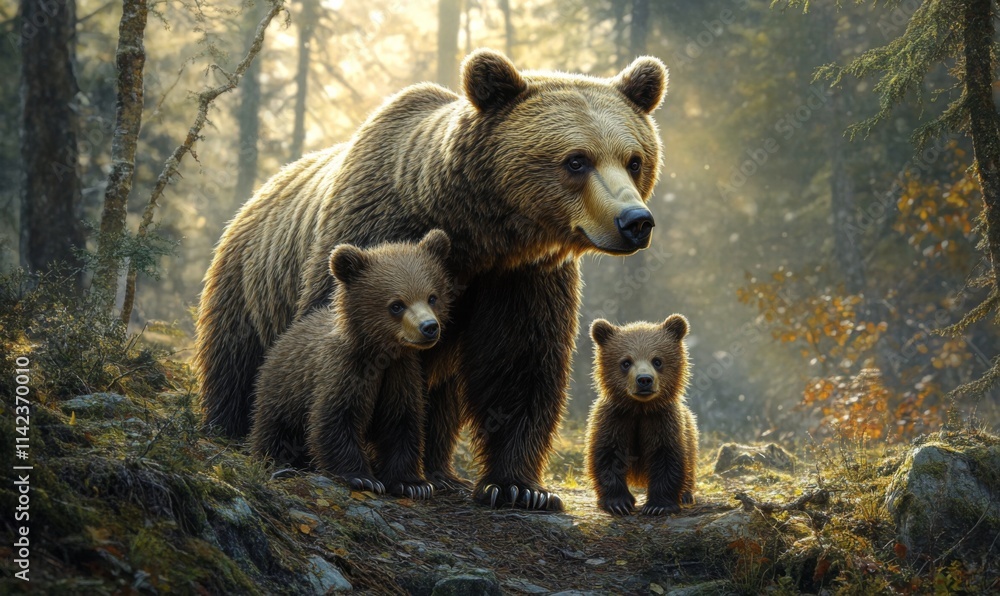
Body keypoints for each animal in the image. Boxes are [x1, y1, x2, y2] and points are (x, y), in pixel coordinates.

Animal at [248, 230, 452, 499]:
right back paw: (275, 461)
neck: (380, 355)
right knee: (275, 429)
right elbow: (335, 420)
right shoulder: (345, 371)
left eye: (432, 297)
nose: (429, 327)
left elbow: (402, 424)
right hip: (284, 390)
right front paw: (362, 478)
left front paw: (413, 484)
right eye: (396, 305)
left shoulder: (400, 376)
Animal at [585, 315, 698, 516]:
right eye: (626, 362)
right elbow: (607, 455)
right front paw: (618, 503)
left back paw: (686, 495)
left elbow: (667, 457)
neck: (640, 409)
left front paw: (657, 505)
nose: (644, 379)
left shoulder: (662, 421)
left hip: (690, 432)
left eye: (657, 360)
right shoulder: (615, 419)